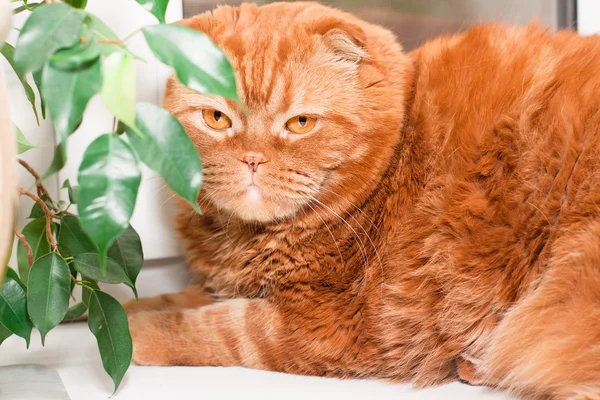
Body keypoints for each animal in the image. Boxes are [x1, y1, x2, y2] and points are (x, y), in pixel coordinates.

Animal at [123, 2, 600, 396]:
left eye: (300, 124)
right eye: (216, 119)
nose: (253, 159)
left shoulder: (325, 324)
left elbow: (211, 327)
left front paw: (132, 329)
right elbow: (181, 299)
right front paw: (121, 306)